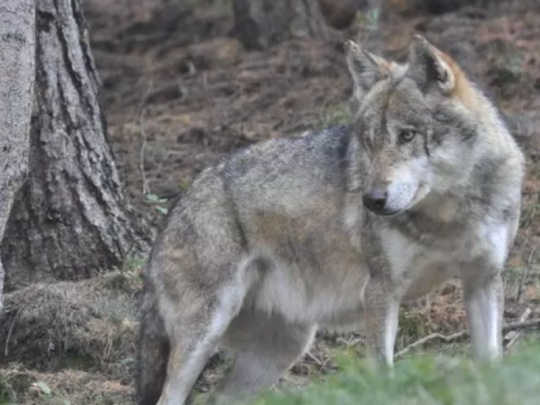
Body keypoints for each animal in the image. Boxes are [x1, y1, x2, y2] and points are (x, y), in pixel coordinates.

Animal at [137, 36, 524, 402]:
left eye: (407, 135)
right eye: (369, 142)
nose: (372, 200)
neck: (448, 216)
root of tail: (173, 212)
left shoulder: (483, 279)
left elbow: (493, 364)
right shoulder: (381, 291)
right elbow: (384, 374)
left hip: (282, 349)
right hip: (205, 337)